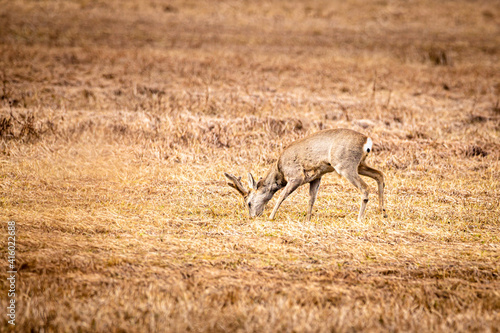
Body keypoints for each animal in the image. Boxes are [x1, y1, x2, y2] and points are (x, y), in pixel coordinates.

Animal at [224, 128, 386, 222]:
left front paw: (271, 217)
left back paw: (359, 219)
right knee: (380, 175)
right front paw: (308, 219)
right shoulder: (316, 177)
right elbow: (311, 199)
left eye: (248, 203)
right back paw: (383, 212)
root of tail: (367, 141)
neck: (279, 171)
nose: (252, 216)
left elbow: (282, 196)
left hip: (345, 165)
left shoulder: (296, 176)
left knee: (365, 187)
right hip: (360, 164)